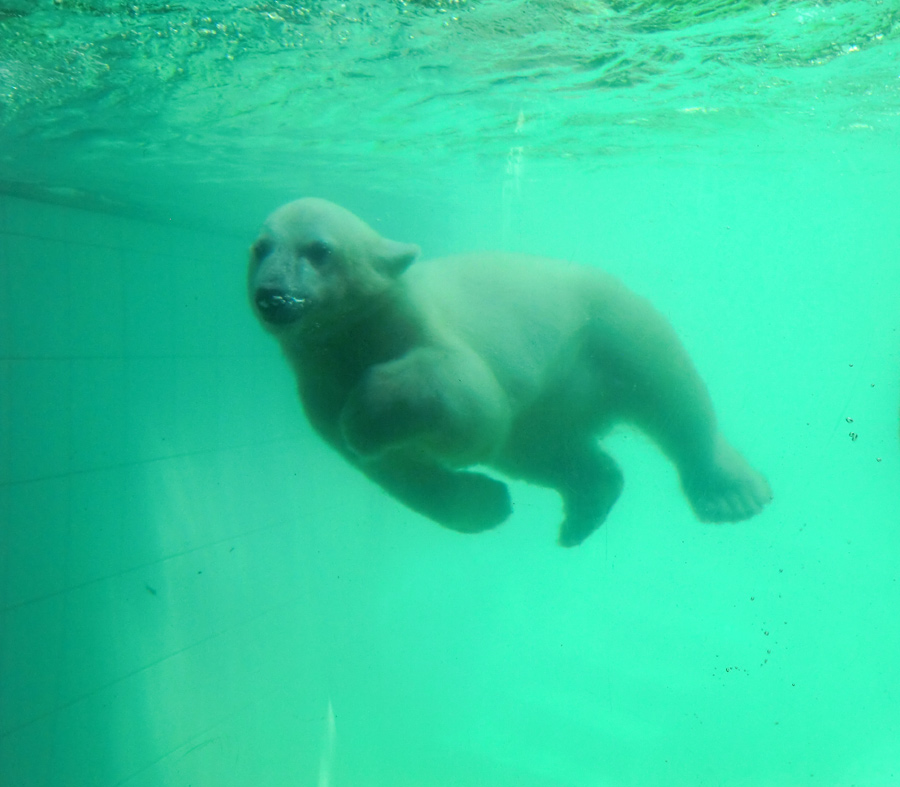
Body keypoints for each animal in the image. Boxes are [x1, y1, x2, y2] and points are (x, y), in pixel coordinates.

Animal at [250, 199, 768, 548]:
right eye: (260, 248)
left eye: (319, 249)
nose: (271, 295)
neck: (358, 337)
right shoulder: (318, 391)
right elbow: (402, 474)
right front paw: (486, 506)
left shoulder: (423, 329)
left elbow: (471, 404)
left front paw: (365, 413)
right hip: (549, 408)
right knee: (548, 453)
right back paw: (586, 507)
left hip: (608, 327)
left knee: (672, 393)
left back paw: (731, 495)